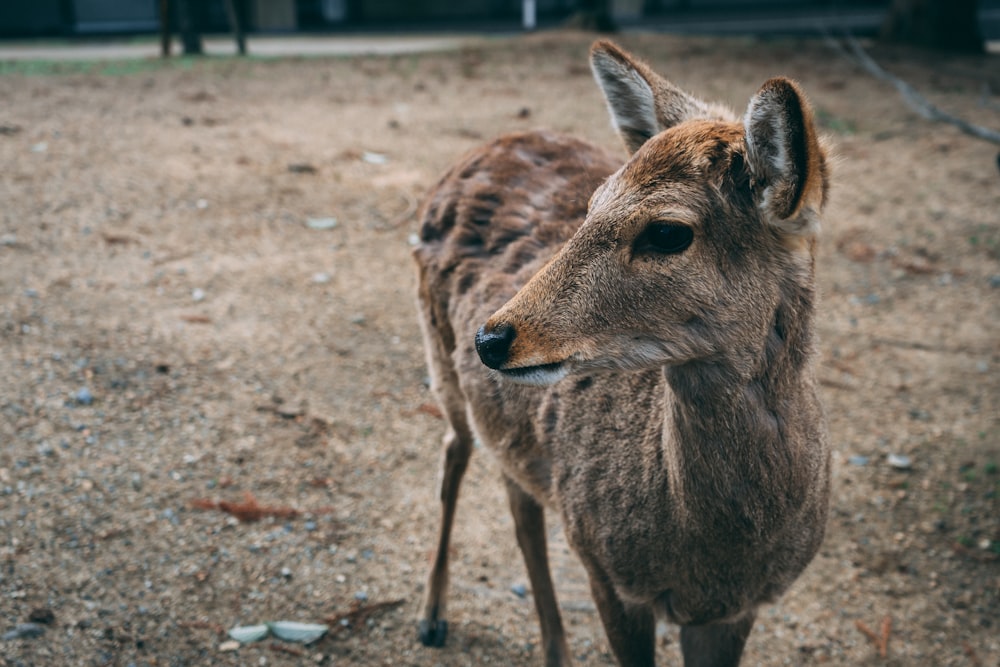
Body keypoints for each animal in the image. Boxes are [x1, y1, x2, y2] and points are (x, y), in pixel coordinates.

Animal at [410, 41, 832, 667]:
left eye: (668, 232)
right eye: (591, 204)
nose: (491, 338)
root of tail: (486, 145)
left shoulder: (738, 609)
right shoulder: (609, 573)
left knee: (517, 497)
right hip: (437, 356)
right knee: (453, 452)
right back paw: (432, 616)